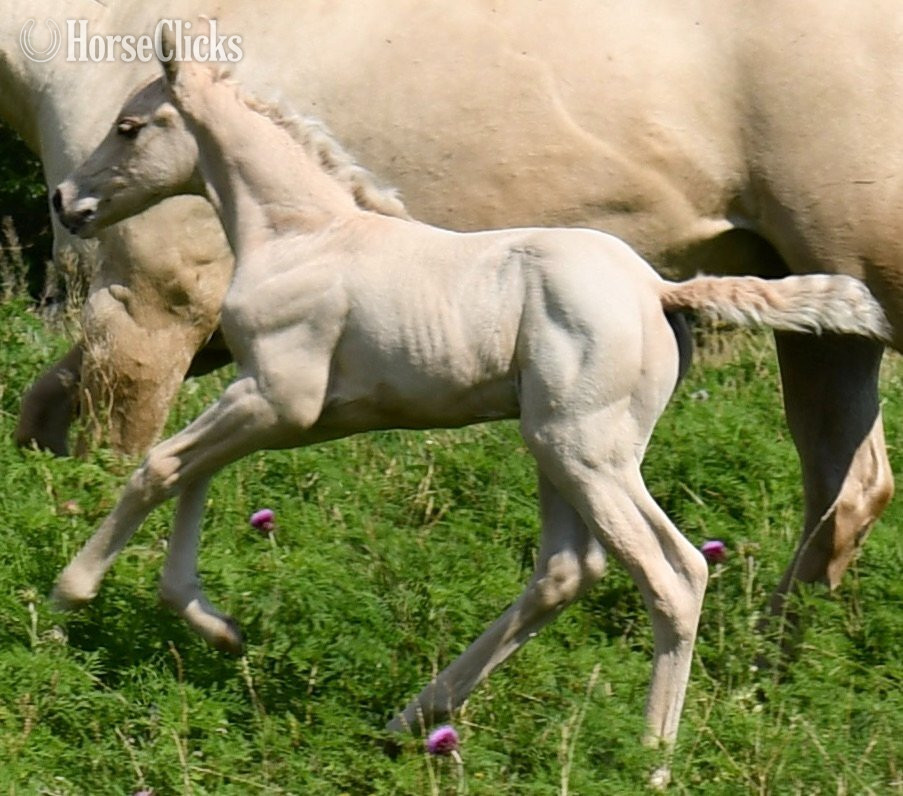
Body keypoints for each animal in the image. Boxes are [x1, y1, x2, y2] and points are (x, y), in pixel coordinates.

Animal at [50, 50, 891, 786]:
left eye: (128, 126)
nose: (65, 202)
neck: (302, 233)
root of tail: (658, 290)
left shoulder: (277, 397)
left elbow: (158, 466)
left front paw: (71, 593)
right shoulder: (273, 404)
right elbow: (190, 472)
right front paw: (217, 627)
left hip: (584, 452)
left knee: (672, 572)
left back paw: (648, 759)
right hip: (560, 449)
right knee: (565, 570)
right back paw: (411, 718)